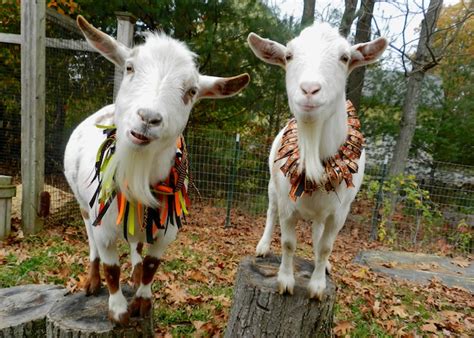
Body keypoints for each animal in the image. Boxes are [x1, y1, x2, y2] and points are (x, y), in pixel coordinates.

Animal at [64, 16, 250, 324]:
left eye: (192, 91)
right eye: (129, 67)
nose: (148, 118)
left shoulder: (166, 229)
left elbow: (152, 264)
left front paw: (142, 300)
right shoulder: (103, 223)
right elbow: (111, 267)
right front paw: (118, 311)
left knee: (136, 245)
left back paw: (135, 271)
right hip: (83, 205)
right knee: (91, 242)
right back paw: (92, 281)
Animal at [246, 23, 386, 298]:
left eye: (345, 58)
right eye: (288, 56)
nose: (309, 89)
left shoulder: (341, 211)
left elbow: (325, 246)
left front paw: (318, 286)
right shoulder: (288, 205)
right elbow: (288, 243)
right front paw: (285, 281)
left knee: (317, 232)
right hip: (273, 187)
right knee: (270, 212)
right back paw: (263, 246)